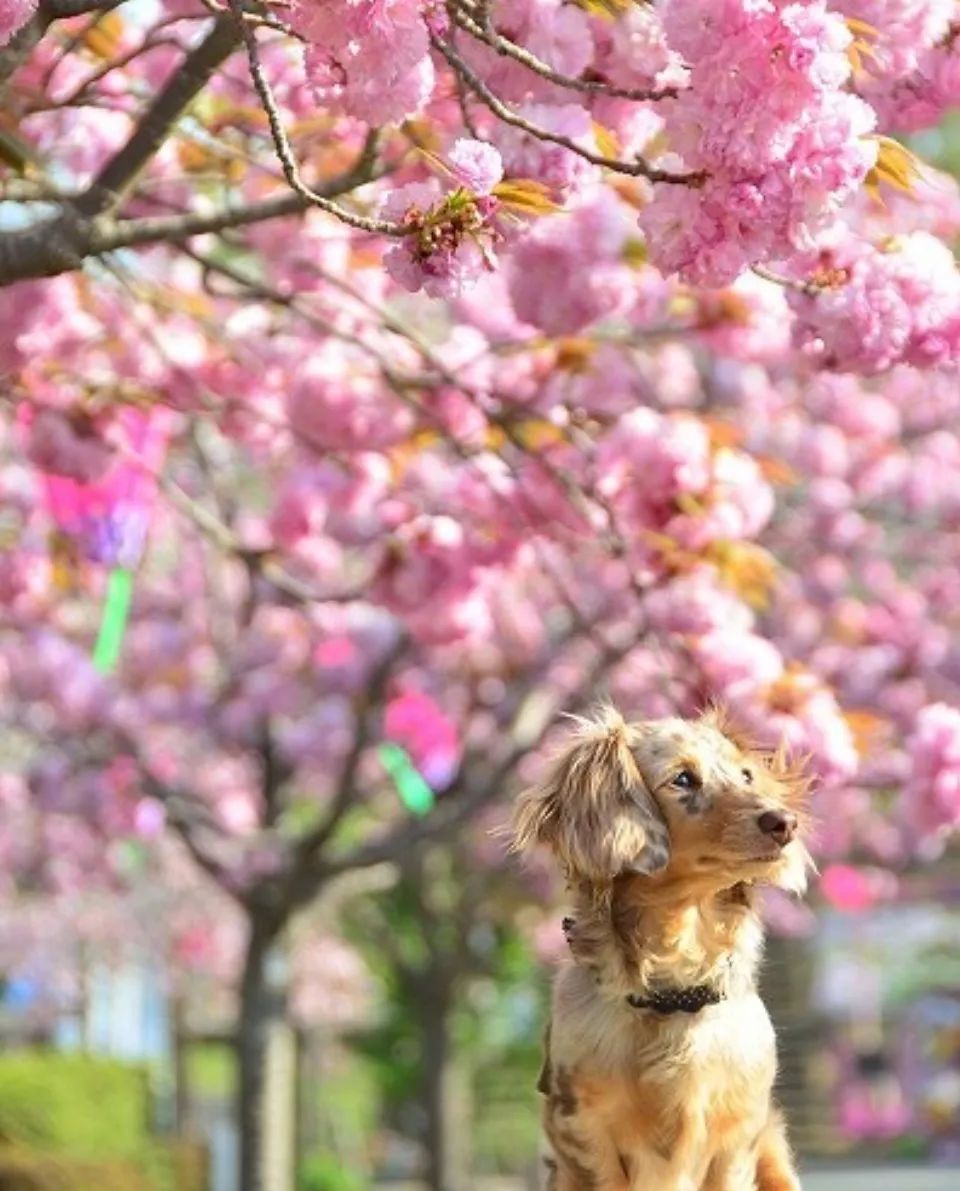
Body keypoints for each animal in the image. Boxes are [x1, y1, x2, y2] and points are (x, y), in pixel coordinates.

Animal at [512, 705, 809, 1191]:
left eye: (746, 775)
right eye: (683, 779)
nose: (785, 823)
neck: (673, 995)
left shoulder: (739, 1134)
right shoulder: (584, 1130)